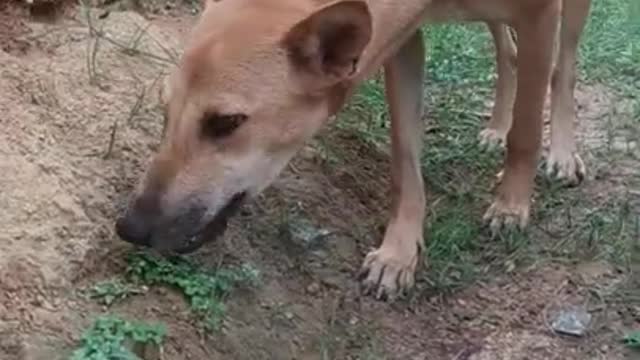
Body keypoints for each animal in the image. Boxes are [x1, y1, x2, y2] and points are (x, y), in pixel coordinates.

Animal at [115, 0, 592, 298]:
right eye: (164, 112)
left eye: (226, 123)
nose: (130, 228)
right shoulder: (403, 39)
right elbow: (405, 161)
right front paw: (399, 252)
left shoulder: (540, 13)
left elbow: (527, 129)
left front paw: (511, 205)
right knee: (506, 50)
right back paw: (495, 127)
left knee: (564, 67)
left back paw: (561, 154)